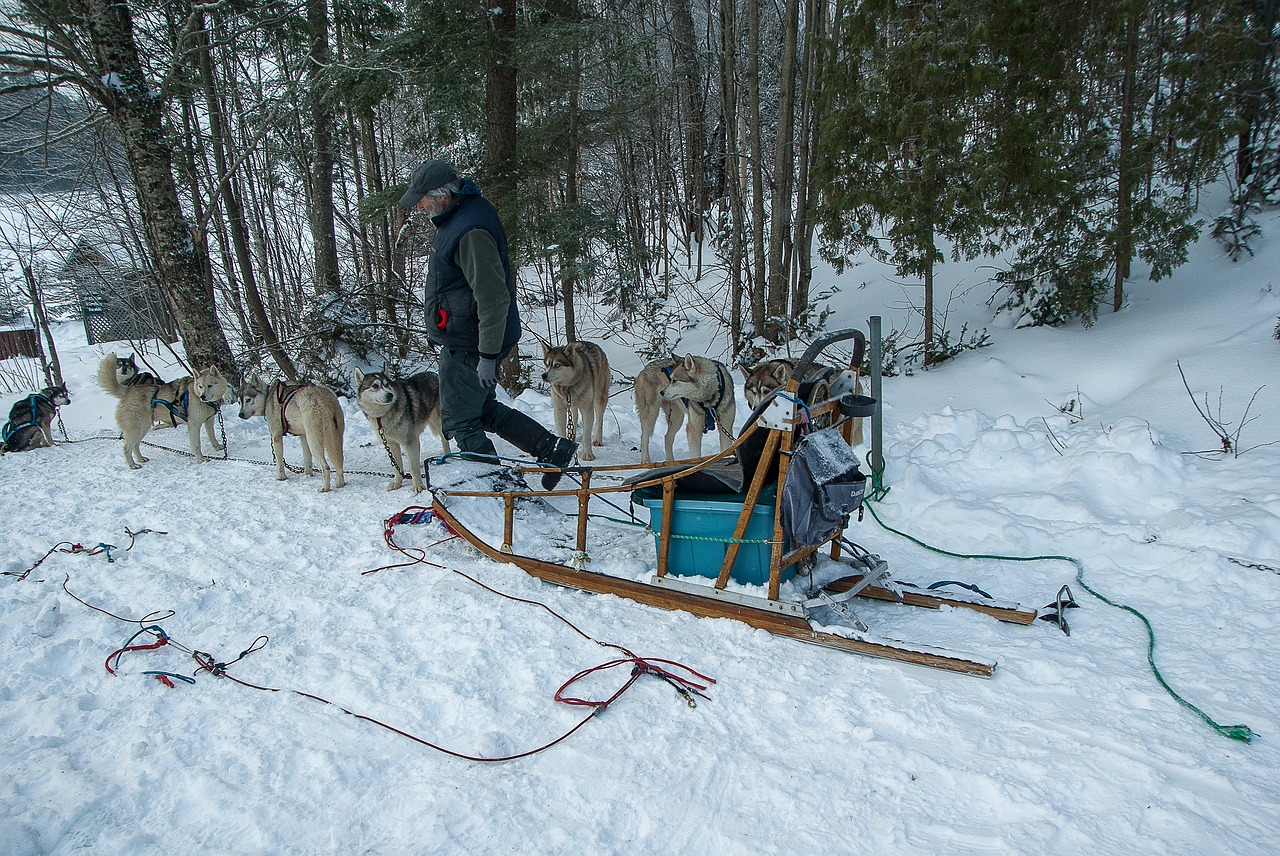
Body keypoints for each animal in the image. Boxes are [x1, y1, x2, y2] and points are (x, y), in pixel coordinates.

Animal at [98, 353, 229, 468]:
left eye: (210, 385)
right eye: (200, 386)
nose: (202, 396)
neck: (195, 395)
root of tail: (127, 390)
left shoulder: (209, 420)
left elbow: (212, 436)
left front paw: (217, 447)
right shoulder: (194, 425)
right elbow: (196, 445)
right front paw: (200, 459)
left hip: (142, 428)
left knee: (135, 446)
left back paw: (141, 458)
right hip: (136, 429)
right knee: (126, 448)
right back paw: (133, 465)